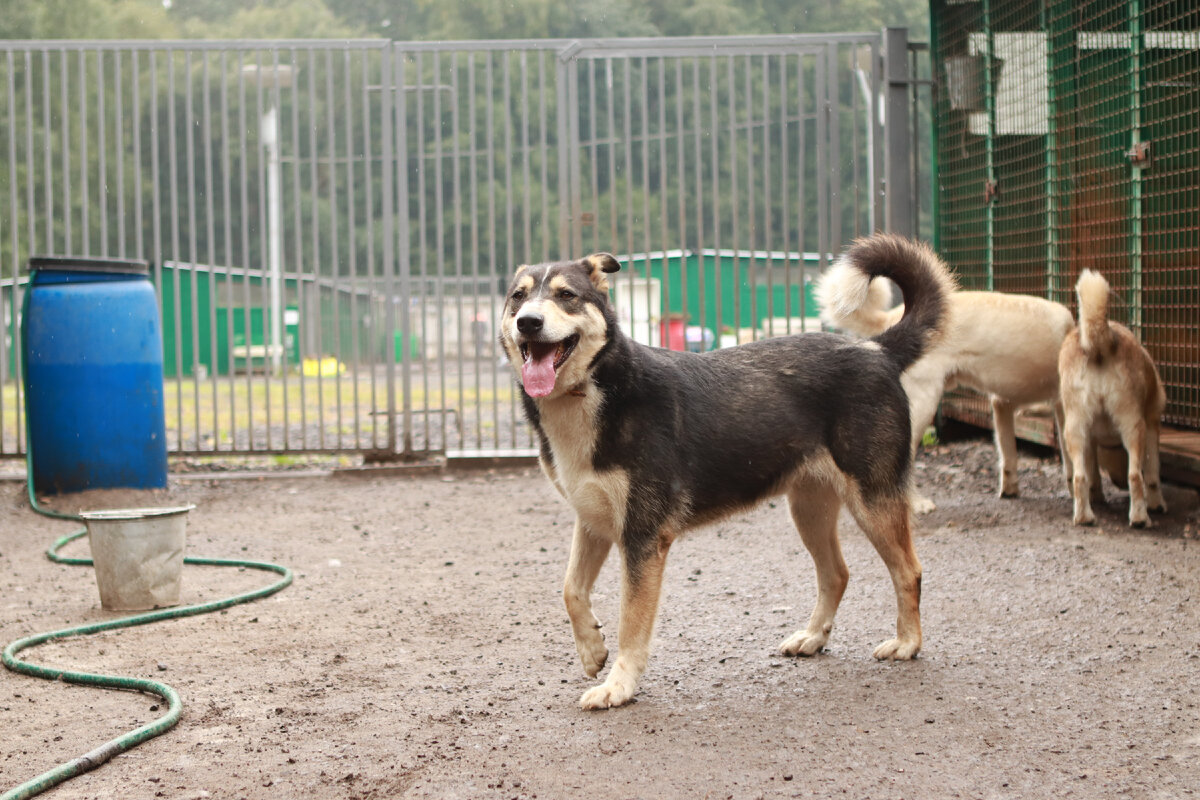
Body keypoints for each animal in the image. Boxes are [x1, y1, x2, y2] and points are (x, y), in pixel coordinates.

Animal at [501, 231, 950, 705]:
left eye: (566, 296)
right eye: (518, 297)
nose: (528, 322)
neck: (594, 388)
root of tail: (877, 348)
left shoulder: (642, 538)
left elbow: (631, 624)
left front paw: (618, 686)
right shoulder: (593, 520)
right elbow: (570, 590)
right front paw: (591, 651)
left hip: (873, 500)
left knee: (908, 571)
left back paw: (907, 643)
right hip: (809, 508)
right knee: (837, 574)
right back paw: (812, 637)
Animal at [820, 263, 1075, 513]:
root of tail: (894, 319)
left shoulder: (1001, 403)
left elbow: (1008, 452)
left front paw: (1010, 490)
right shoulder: (1062, 406)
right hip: (922, 405)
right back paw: (917, 504)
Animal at [1060, 272, 1161, 527]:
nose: (1118, 483)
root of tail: (1099, 345)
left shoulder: (1090, 441)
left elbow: (1092, 475)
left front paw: (1097, 496)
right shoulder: (1152, 425)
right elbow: (1152, 475)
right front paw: (1157, 504)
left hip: (1074, 428)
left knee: (1079, 477)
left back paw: (1084, 516)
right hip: (1134, 426)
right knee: (1135, 475)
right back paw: (1140, 518)